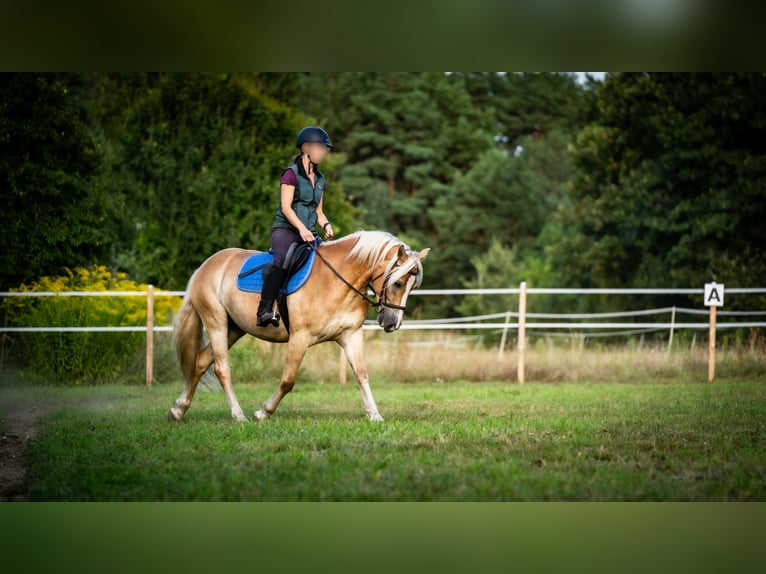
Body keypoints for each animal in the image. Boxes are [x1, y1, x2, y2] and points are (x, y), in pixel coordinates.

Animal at [170, 232, 432, 426]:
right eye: (397, 283)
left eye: (412, 286)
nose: (392, 323)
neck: (336, 280)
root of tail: (206, 265)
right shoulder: (300, 337)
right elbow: (288, 380)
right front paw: (263, 412)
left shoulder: (351, 335)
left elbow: (361, 374)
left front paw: (374, 414)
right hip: (216, 322)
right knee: (221, 368)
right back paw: (238, 415)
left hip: (234, 329)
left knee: (201, 361)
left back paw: (179, 410)